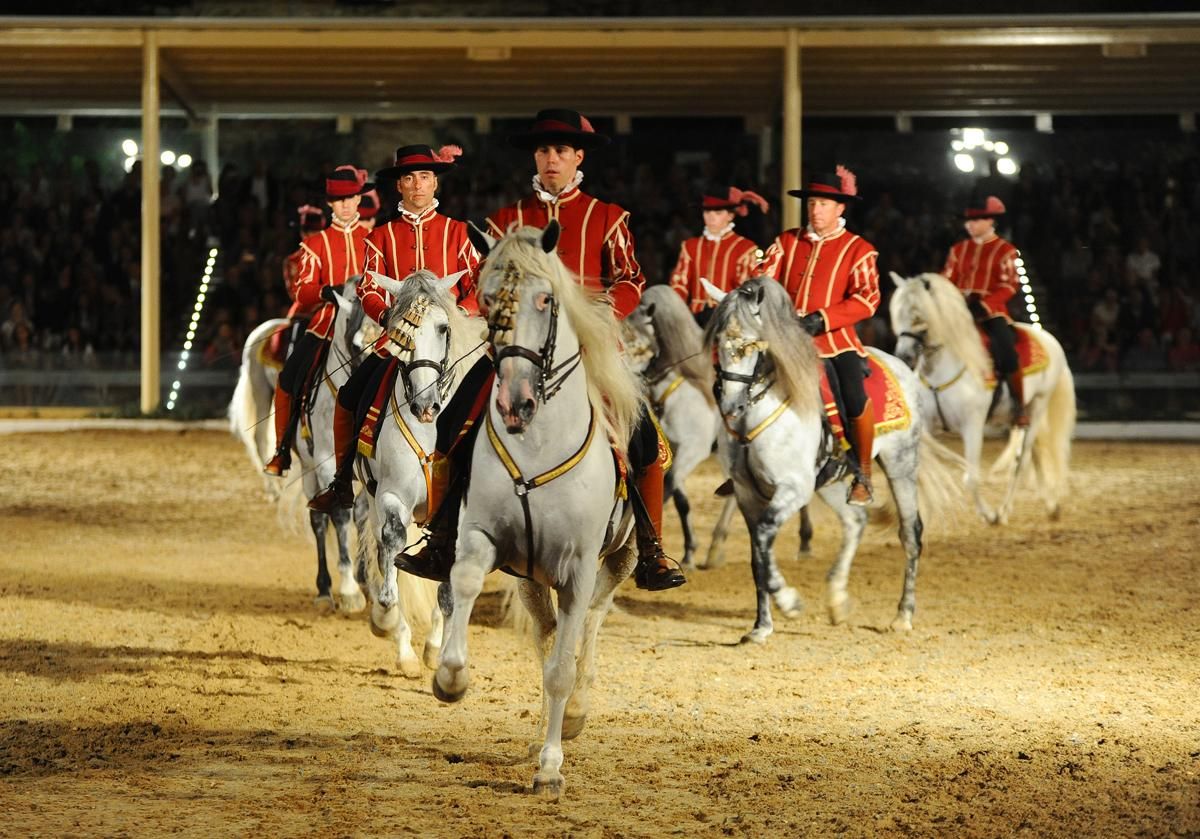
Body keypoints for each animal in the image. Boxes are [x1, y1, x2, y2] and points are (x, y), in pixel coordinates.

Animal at [228, 278, 369, 614]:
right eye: (356, 344)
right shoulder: (329, 463)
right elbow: (341, 516)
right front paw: (349, 589)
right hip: (268, 403)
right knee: (316, 515)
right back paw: (325, 589)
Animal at [338, 268, 477, 676]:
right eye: (397, 329)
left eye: (444, 328)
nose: (426, 405)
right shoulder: (390, 496)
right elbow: (392, 547)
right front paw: (385, 620)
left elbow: (447, 586)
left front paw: (439, 649)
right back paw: (402, 648)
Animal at [427, 223, 643, 801]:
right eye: (485, 300)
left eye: (546, 300)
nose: (515, 403)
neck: (538, 443)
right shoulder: (483, 538)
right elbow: (464, 582)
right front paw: (450, 679)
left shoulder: (578, 567)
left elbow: (563, 666)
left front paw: (551, 767)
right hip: (530, 576)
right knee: (549, 635)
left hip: (621, 560)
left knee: (590, 622)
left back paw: (575, 715)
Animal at [700, 277, 960, 643]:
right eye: (718, 341)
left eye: (753, 344)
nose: (731, 406)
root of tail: (899, 365)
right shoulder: (746, 494)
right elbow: (757, 557)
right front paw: (761, 626)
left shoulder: (793, 489)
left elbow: (764, 537)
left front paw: (789, 602)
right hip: (828, 481)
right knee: (855, 521)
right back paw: (837, 599)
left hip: (901, 464)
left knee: (911, 532)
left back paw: (903, 616)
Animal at [888, 273, 1075, 525]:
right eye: (897, 314)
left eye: (918, 315)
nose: (903, 357)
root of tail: (1048, 338)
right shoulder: (927, 426)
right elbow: (922, 467)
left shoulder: (972, 426)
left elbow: (971, 477)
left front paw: (989, 515)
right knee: (1035, 455)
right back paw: (1051, 505)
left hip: (1037, 407)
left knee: (1021, 461)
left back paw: (1004, 511)